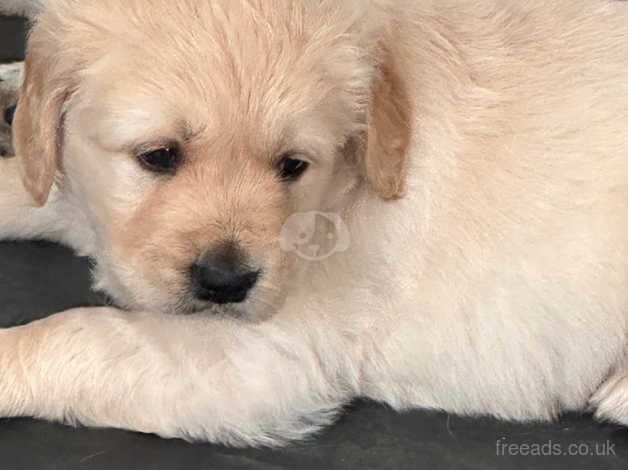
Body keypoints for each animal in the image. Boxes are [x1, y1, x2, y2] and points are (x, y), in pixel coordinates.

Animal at [0, 0, 624, 446]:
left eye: (292, 165)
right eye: (158, 156)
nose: (227, 283)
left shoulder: (264, 359)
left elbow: (77, 334)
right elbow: (33, 188)